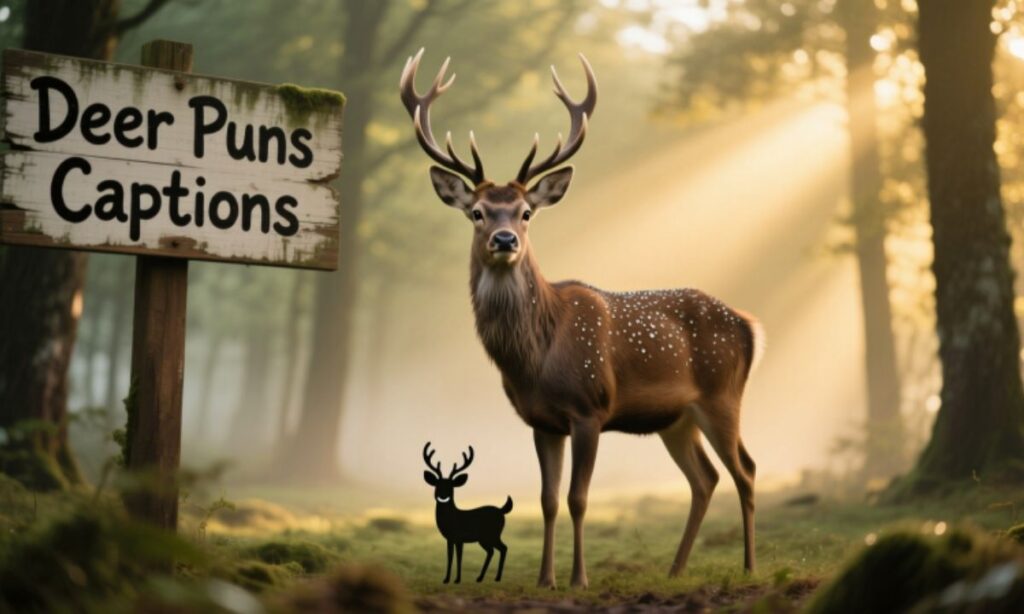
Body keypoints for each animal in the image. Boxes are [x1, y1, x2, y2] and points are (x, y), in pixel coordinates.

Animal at [422, 442, 512, 583]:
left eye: (451, 487)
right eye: (437, 485)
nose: (443, 496)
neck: (451, 518)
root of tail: (501, 510)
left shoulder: (459, 537)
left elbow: (459, 557)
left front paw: (457, 579)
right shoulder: (450, 538)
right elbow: (450, 557)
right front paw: (447, 579)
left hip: (491, 534)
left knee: (502, 548)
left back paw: (495, 578)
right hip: (485, 538)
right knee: (493, 551)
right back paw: (482, 577)